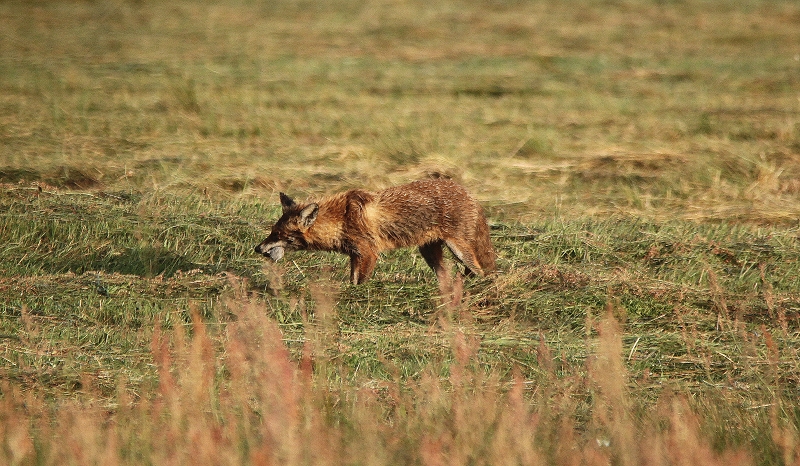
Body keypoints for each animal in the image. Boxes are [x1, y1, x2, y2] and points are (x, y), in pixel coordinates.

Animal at [256, 179, 494, 284]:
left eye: (278, 235)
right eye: (272, 231)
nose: (257, 248)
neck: (341, 219)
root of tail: (469, 193)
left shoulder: (369, 252)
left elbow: (360, 282)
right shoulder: (355, 254)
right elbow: (352, 280)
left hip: (459, 250)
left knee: (480, 272)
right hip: (429, 252)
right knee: (447, 275)